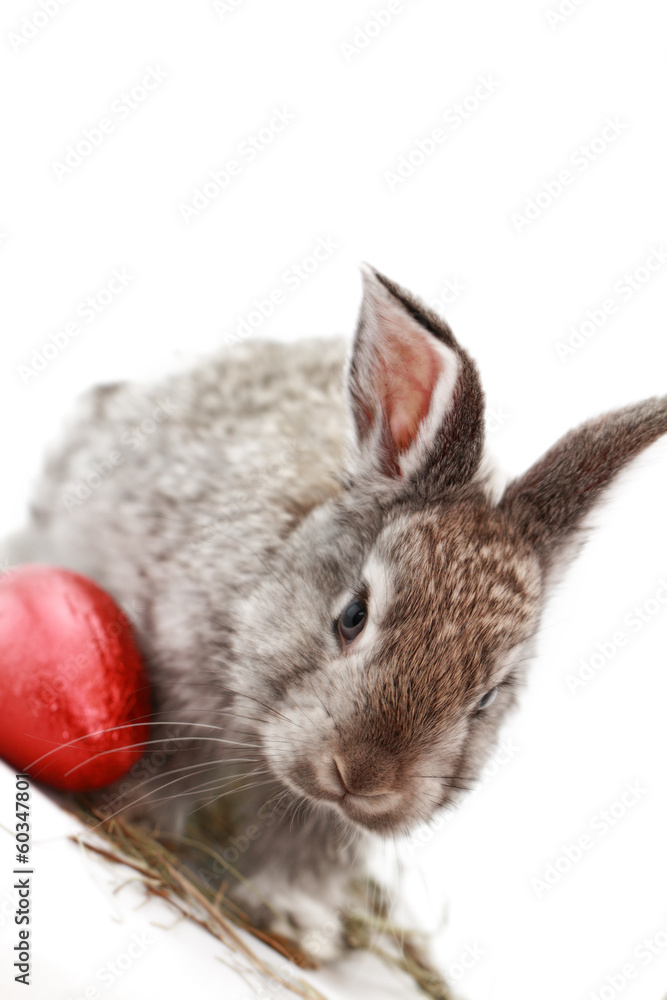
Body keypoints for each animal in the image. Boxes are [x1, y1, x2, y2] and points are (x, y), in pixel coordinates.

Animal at [5, 265, 667, 957]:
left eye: (488, 697)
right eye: (353, 615)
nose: (365, 776)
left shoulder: (333, 826)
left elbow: (309, 847)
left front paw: (290, 917)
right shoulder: (174, 672)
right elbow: (171, 761)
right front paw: (138, 817)